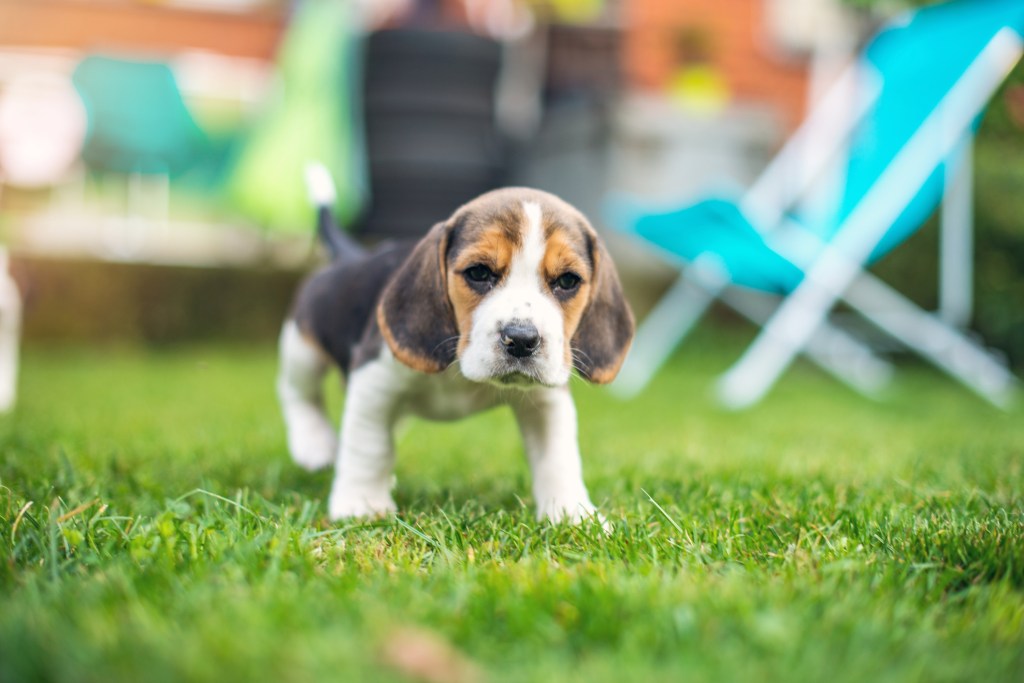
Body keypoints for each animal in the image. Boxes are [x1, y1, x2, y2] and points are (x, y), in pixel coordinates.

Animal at [280, 166, 630, 524]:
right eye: (478, 272)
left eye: (568, 280)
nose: (521, 339)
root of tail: (352, 256)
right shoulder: (374, 378)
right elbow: (369, 445)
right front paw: (361, 505)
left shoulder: (547, 399)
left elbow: (558, 456)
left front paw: (572, 514)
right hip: (301, 345)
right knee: (297, 391)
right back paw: (314, 444)